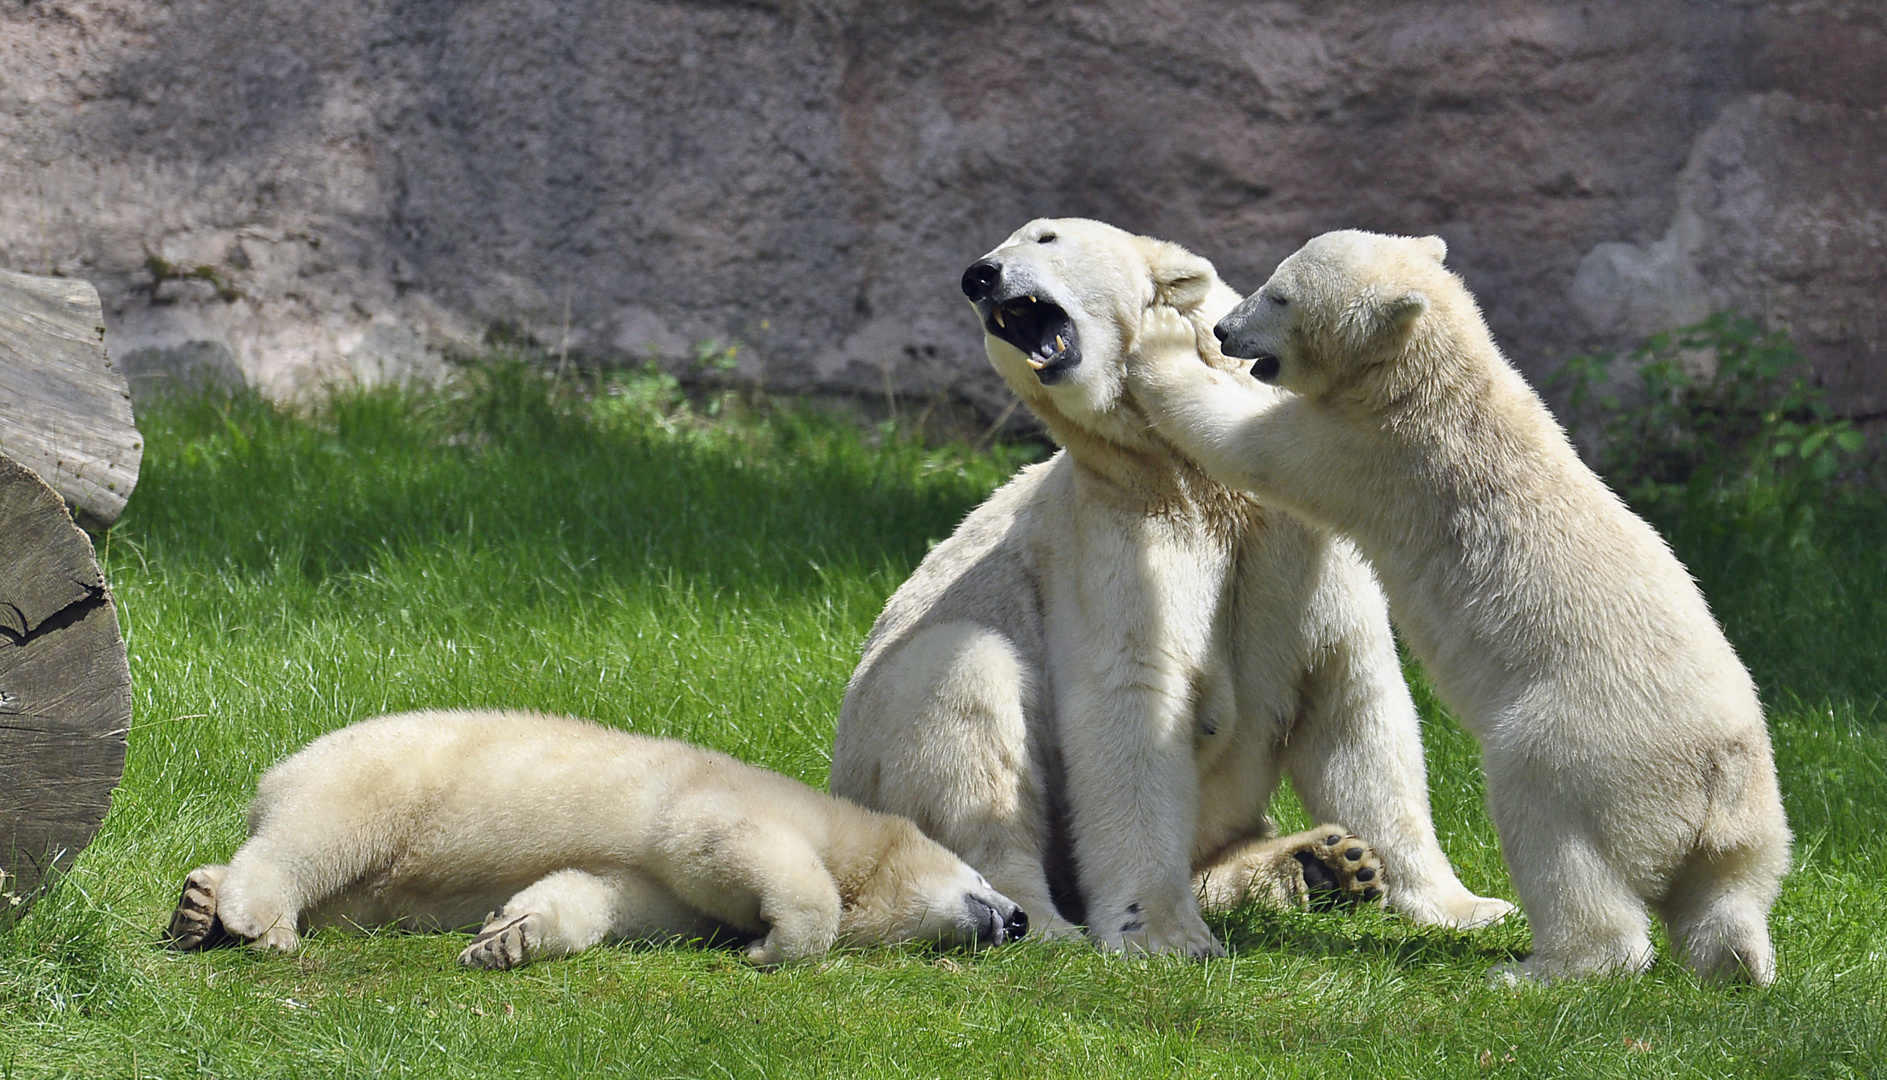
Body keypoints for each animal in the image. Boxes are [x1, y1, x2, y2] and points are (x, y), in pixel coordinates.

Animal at [167, 709, 1034, 966]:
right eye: (983, 878)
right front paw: (774, 946)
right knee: (318, 836)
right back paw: (256, 919)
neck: (849, 836)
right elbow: (716, 839)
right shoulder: (739, 802)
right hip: (382, 775)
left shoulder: (675, 897)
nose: (1020, 919)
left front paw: (505, 936)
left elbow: (612, 893)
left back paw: (199, 902)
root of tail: (277, 772)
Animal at [834, 217, 1509, 951]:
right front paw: (1160, 933)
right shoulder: (1115, 537)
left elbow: (1351, 701)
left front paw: (1465, 905)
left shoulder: (1301, 545)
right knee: (967, 697)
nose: (979, 276)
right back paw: (1042, 922)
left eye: (1045, 237)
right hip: (880, 746)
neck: (1192, 485)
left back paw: (1326, 862)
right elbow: (1132, 705)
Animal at [1124, 232, 1788, 981]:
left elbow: (1244, 443)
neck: (1435, 381)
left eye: (1281, 295)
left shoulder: (1365, 453)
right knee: (1728, 892)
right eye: (1270, 279)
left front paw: (1159, 342)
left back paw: (1544, 968)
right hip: (1756, 820)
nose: (1222, 330)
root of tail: (1713, 775)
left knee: (1551, 828)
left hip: (1583, 746)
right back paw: (1738, 961)